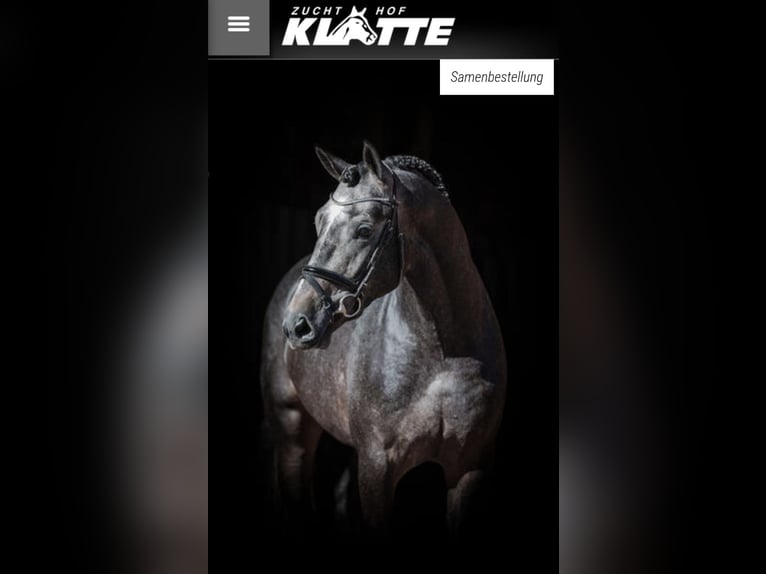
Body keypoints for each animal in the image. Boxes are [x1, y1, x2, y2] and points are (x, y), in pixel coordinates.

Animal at [260, 141, 506, 535]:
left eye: (364, 229)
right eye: (319, 220)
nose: (297, 324)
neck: (441, 355)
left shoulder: (470, 466)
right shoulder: (378, 466)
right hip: (292, 434)